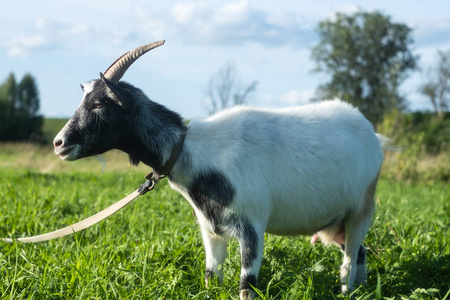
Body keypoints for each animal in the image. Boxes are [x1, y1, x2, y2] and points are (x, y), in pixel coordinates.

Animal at [52, 40, 384, 300]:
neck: (197, 154)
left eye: (99, 104)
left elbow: (246, 284)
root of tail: (374, 137)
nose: (59, 143)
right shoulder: (211, 230)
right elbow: (211, 277)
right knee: (359, 254)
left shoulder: (252, 228)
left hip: (361, 209)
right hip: (335, 221)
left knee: (348, 261)